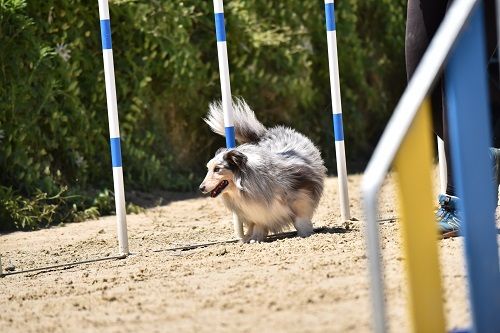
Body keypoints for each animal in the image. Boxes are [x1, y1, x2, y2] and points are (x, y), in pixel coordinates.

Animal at [199, 98, 328, 241]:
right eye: (208, 169)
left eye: (217, 169)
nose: (201, 188)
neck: (245, 182)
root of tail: (266, 134)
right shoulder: (257, 211)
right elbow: (259, 224)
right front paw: (255, 239)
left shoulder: (302, 192)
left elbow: (300, 219)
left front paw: (304, 234)